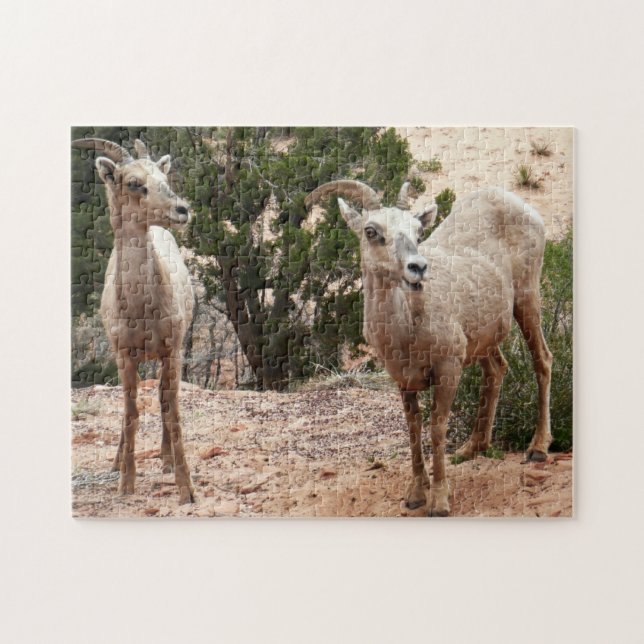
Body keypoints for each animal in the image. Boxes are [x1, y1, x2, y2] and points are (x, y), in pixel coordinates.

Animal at [72, 137, 196, 504]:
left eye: (163, 176)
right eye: (133, 182)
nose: (182, 210)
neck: (142, 309)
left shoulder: (172, 350)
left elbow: (171, 410)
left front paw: (186, 488)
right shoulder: (124, 354)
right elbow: (130, 412)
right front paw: (126, 482)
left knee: (164, 401)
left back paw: (166, 459)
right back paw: (116, 463)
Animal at [306, 180, 552, 516]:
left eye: (418, 231)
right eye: (371, 231)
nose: (418, 268)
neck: (407, 329)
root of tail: (517, 202)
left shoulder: (447, 370)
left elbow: (436, 428)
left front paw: (439, 501)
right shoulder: (403, 380)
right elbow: (413, 429)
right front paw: (414, 495)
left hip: (527, 299)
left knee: (543, 360)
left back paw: (537, 449)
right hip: (484, 337)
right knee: (497, 369)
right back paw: (471, 448)